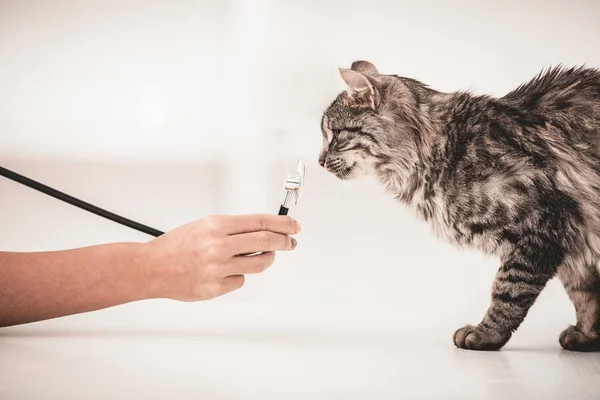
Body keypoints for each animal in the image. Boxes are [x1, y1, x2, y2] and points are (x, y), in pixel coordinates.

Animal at [322, 59, 600, 350]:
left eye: (335, 135)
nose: (320, 161)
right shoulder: (571, 242)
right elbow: (584, 293)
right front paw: (587, 334)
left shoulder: (545, 225)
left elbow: (509, 290)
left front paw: (487, 333)